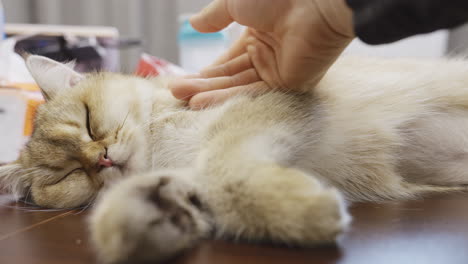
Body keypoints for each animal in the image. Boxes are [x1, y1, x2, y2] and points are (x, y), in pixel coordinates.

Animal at [0, 54, 468, 262]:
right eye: (67, 175)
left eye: (88, 121)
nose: (102, 161)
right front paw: (146, 220)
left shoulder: (262, 105)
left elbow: (221, 168)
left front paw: (300, 213)